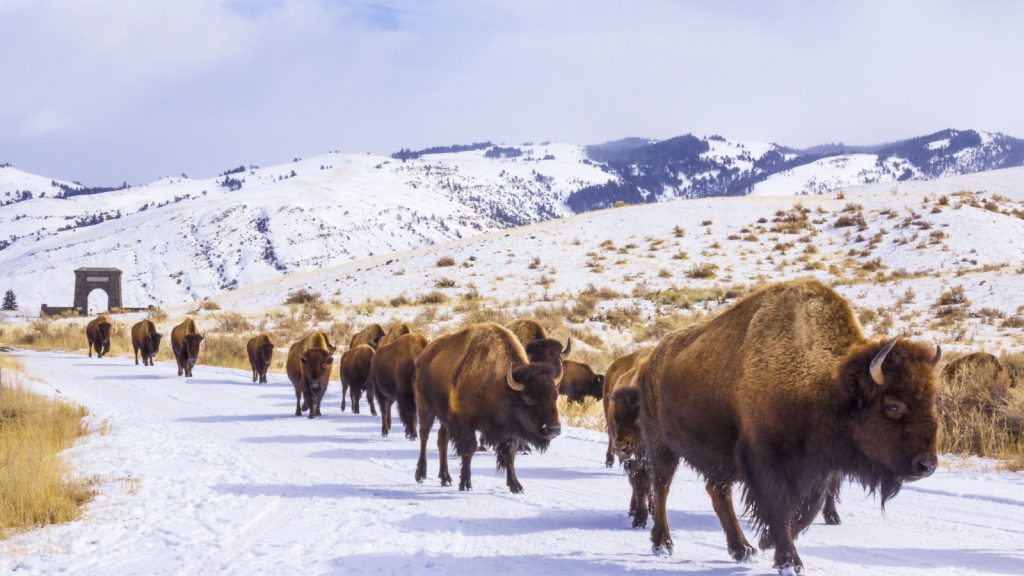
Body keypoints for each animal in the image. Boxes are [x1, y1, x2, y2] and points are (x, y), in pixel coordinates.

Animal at [411, 319, 565, 491]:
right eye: (528, 399)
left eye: (555, 396)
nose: (553, 429)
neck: (502, 385)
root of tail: (424, 355)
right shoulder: (466, 424)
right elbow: (469, 450)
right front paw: (466, 484)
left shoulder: (510, 430)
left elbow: (509, 452)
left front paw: (515, 486)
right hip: (425, 406)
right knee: (424, 436)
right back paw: (420, 475)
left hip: (444, 416)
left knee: (441, 439)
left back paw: (446, 478)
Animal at [638, 278, 942, 569]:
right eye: (893, 406)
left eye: (933, 399)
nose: (927, 465)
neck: (824, 385)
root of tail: (652, 359)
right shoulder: (766, 462)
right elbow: (779, 508)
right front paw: (789, 561)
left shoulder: (817, 469)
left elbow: (807, 510)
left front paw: (769, 542)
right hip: (661, 444)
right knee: (662, 486)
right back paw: (663, 543)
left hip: (718, 457)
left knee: (717, 491)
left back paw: (742, 549)